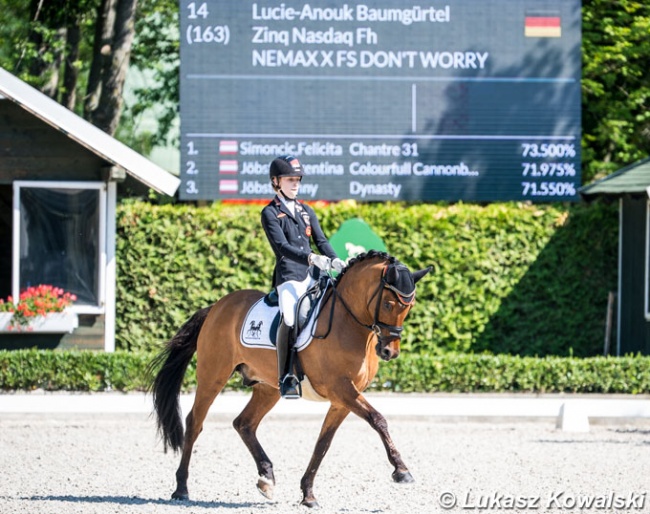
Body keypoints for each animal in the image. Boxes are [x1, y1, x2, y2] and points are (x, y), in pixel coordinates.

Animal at [148, 250, 430, 506]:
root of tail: (217, 306)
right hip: (212, 375)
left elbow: (323, 444)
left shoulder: (342, 399)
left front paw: (308, 495)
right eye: (388, 304)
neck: (349, 324)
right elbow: (378, 419)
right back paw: (181, 489)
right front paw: (401, 470)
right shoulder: (342, 389)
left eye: (410, 306)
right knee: (195, 422)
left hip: (268, 388)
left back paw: (267, 479)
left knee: (244, 423)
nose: (389, 352)